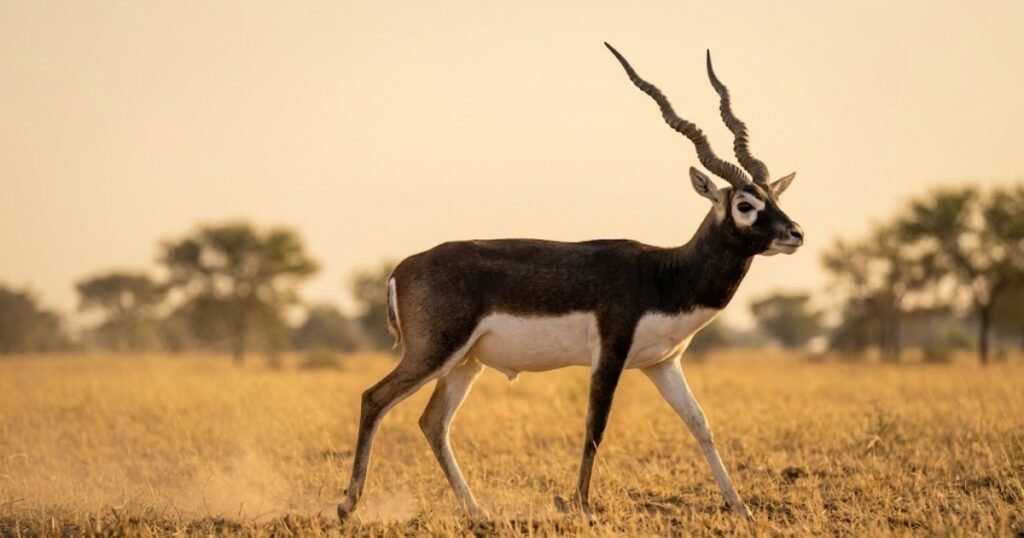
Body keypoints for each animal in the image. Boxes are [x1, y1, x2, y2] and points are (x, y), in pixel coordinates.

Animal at [337, 43, 803, 523]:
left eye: (775, 197)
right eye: (745, 204)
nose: (795, 234)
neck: (664, 274)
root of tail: (400, 270)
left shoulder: (663, 363)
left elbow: (700, 424)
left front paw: (743, 509)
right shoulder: (610, 355)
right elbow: (595, 426)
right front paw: (582, 508)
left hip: (465, 362)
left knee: (432, 422)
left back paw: (478, 513)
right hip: (433, 352)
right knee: (374, 398)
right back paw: (347, 505)